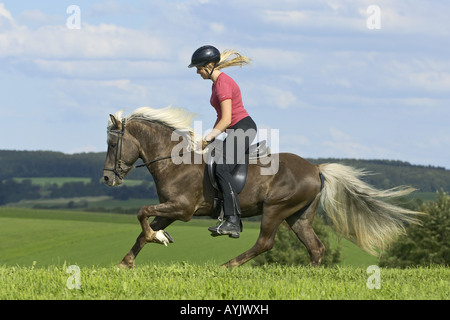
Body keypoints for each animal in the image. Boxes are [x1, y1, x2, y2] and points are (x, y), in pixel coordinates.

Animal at [103, 106, 424, 268]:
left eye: (112, 143)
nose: (107, 179)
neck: (174, 159)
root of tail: (315, 168)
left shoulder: (181, 209)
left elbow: (141, 213)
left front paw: (157, 238)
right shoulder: (170, 209)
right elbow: (143, 227)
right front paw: (127, 261)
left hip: (275, 208)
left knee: (264, 243)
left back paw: (228, 266)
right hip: (298, 216)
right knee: (315, 247)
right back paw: (308, 276)